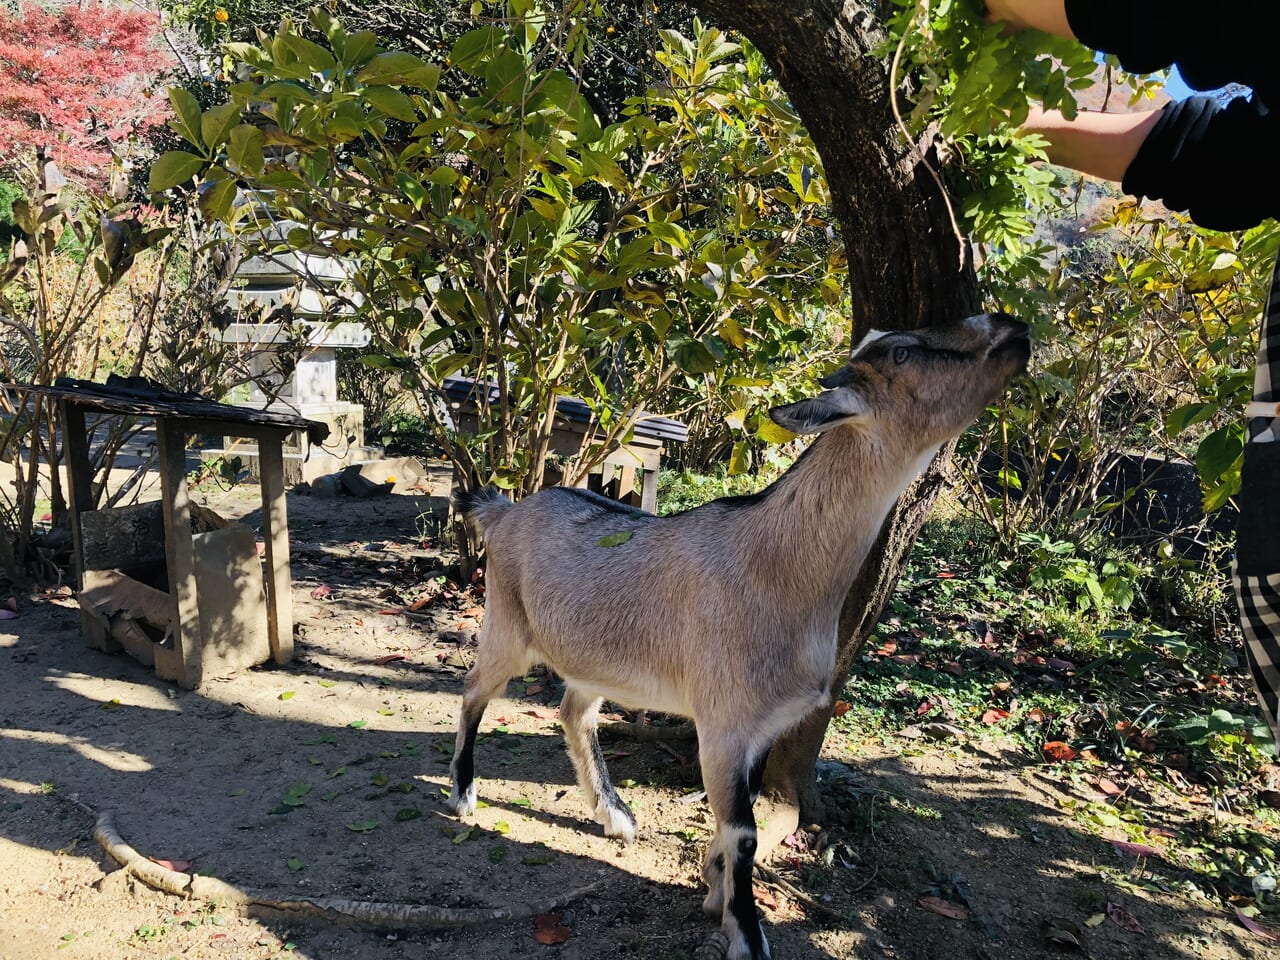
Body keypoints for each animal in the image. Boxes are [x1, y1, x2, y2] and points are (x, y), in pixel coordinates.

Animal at [448, 316, 1029, 960]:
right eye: (903, 352)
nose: (1011, 329)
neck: (776, 565)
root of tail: (504, 511)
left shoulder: (761, 725)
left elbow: (737, 819)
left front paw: (715, 888)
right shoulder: (724, 721)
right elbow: (745, 831)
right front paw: (746, 932)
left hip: (595, 656)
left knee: (575, 710)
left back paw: (614, 814)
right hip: (507, 624)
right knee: (474, 690)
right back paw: (465, 794)